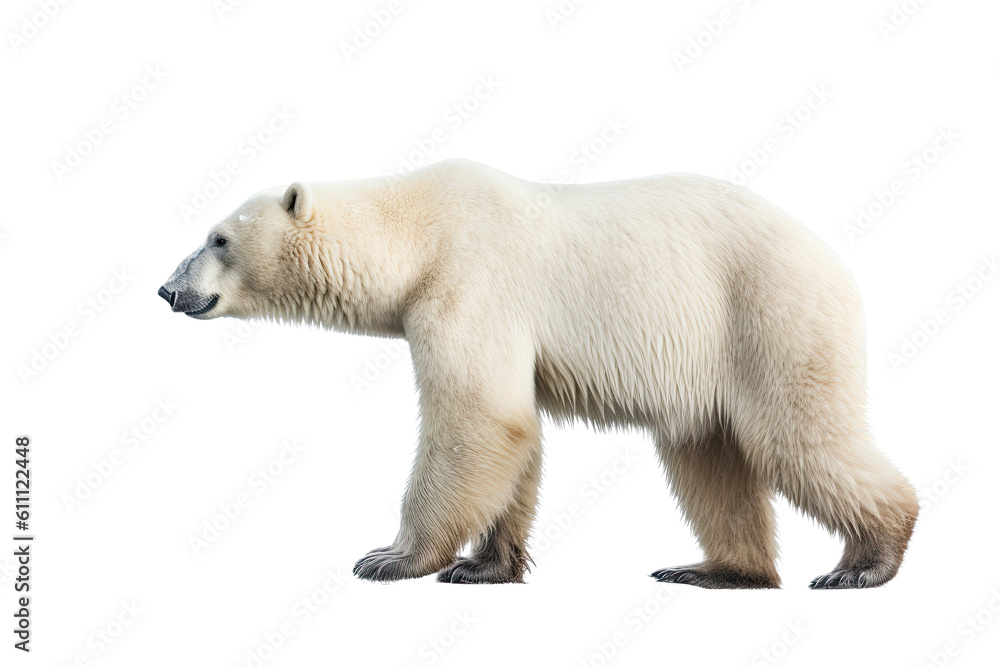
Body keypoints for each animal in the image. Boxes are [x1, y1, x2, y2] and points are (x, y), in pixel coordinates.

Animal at [160, 158, 918, 588]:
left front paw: (390, 557)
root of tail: (837, 262)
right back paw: (713, 569)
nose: (168, 289)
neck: (416, 230)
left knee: (799, 436)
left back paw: (863, 562)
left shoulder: (467, 284)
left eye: (218, 238)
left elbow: (477, 420)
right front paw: (483, 566)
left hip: (767, 314)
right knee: (707, 455)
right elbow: (513, 435)